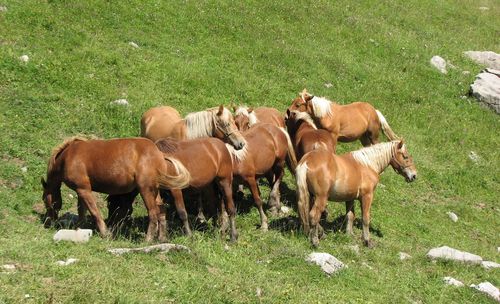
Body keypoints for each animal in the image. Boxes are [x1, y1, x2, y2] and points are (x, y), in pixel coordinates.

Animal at [40, 137, 189, 241]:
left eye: (44, 199)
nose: (48, 222)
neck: (68, 156)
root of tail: (159, 153)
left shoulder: (84, 190)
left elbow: (94, 211)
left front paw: (105, 233)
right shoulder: (81, 190)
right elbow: (82, 210)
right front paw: (80, 229)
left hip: (145, 190)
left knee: (153, 213)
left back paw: (148, 239)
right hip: (154, 191)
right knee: (162, 211)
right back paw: (161, 238)